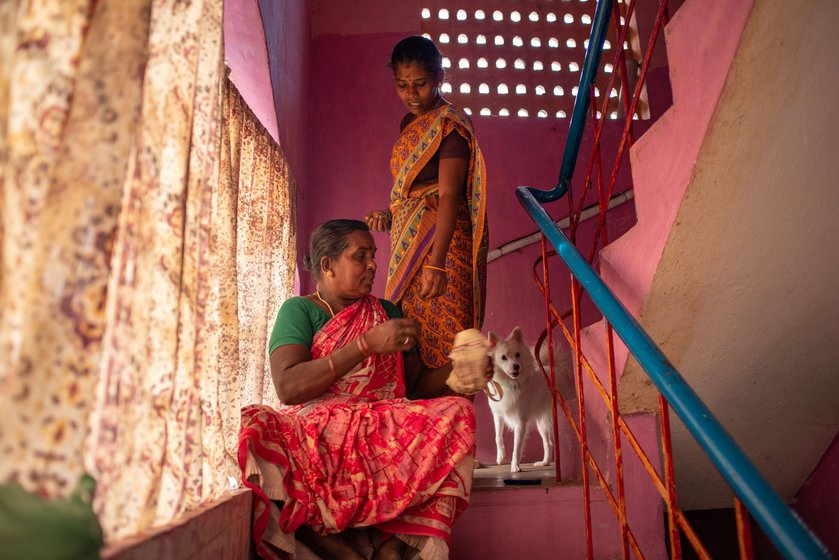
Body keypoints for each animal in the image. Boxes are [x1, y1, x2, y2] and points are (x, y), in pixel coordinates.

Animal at [488, 328, 576, 472]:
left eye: (517, 355)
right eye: (503, 357)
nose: (516, 366)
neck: (510, 384)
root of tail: (558, 369)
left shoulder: (520, 423)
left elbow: (517, 447)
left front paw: (515, 466)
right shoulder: (498, 416)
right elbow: (497, 437)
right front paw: (501, 458)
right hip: (542, 423)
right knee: (548, 443)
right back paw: (544, 462)